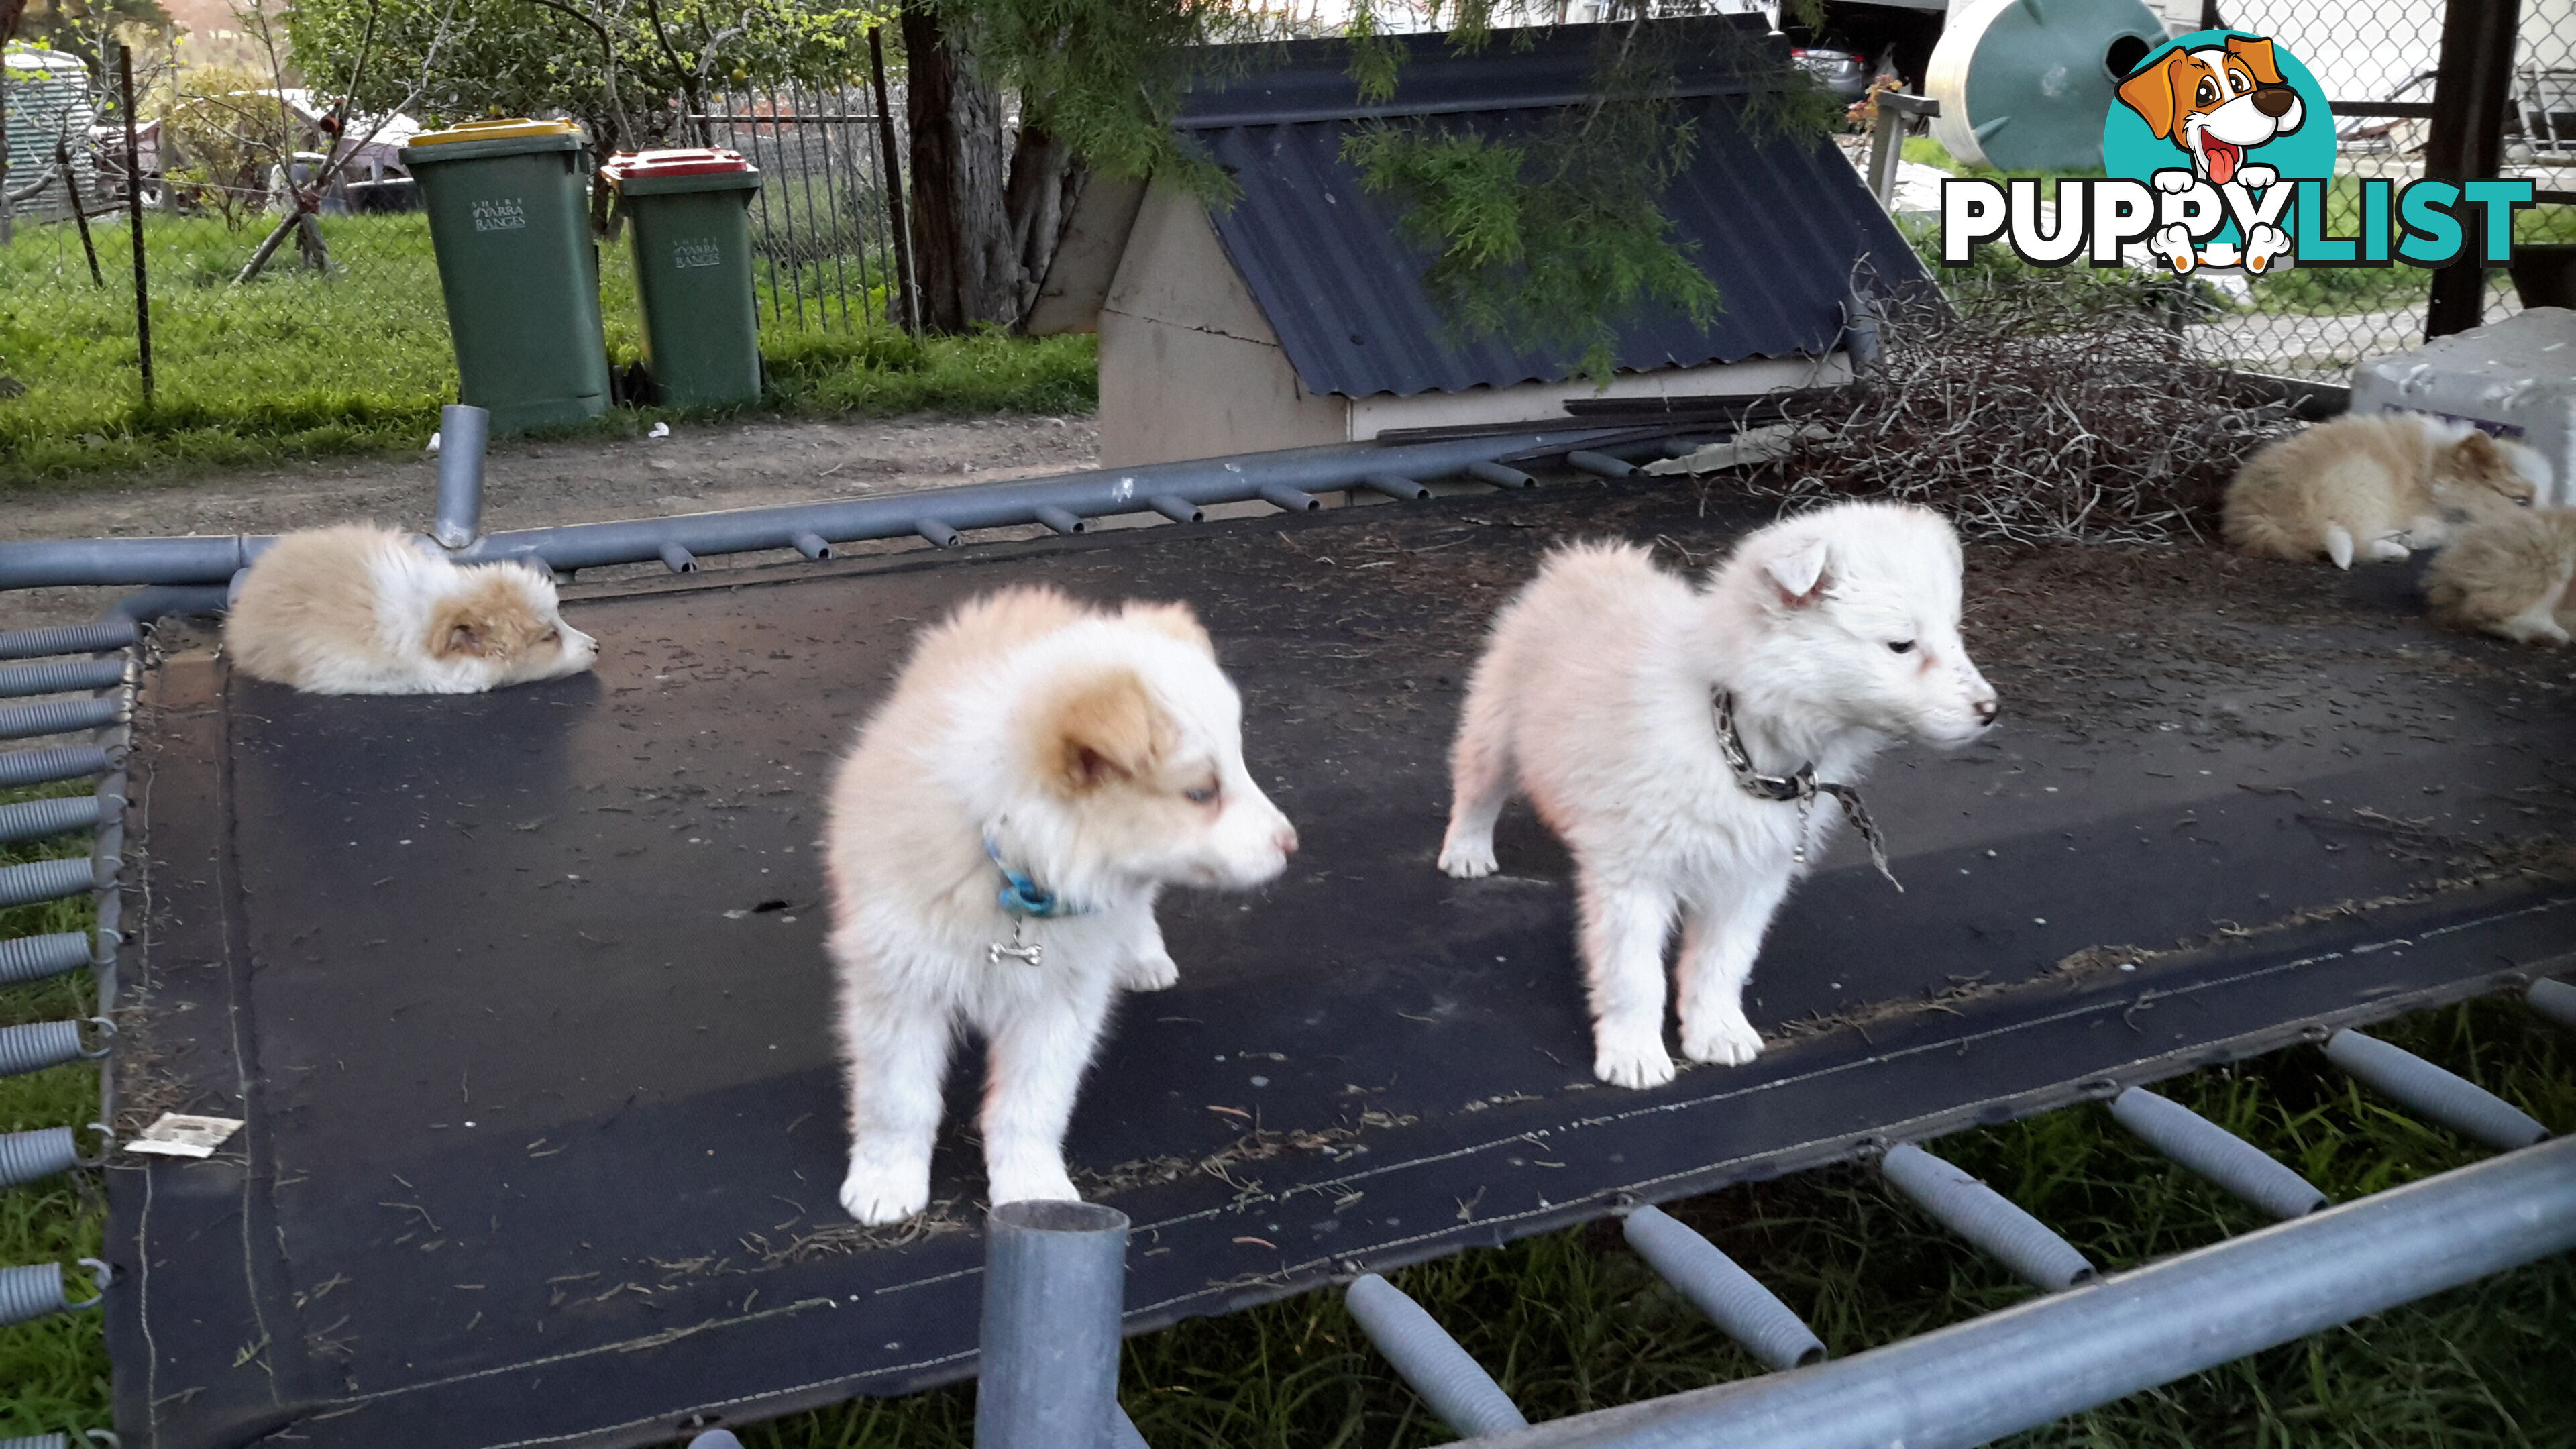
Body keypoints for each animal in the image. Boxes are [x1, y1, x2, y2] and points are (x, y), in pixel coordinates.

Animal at [824, 582, 1298, 1217]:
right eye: (1201, 793)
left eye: (1240, 766)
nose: (1291, 844)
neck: (1013, 866)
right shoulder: (900, 985)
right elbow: (897, 1099)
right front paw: (886, 1181)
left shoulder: (1060, 1000)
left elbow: (1033, 1104)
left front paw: (1033, 1191)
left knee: (1139, 907)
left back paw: (1143, 957)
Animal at [1442, 502, 1998, 1087]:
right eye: (1901, 645)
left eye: (1954, 633)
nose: (1991, 711)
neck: (1735, 738)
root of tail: (1591, 561)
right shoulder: (1636, 876)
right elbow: (1634, 974)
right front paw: (1634, 1052)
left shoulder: (1752, 876)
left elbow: (1722, 962)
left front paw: (1717, 1032)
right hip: (1497, 722)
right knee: (1477, 787)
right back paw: (1467, 850)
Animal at [2225, 412, 2544, 570]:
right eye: (2521, 501)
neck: (2435, 471)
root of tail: (2256, 514)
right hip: (2365, 481)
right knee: (2357, 545)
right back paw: (2395, 549)